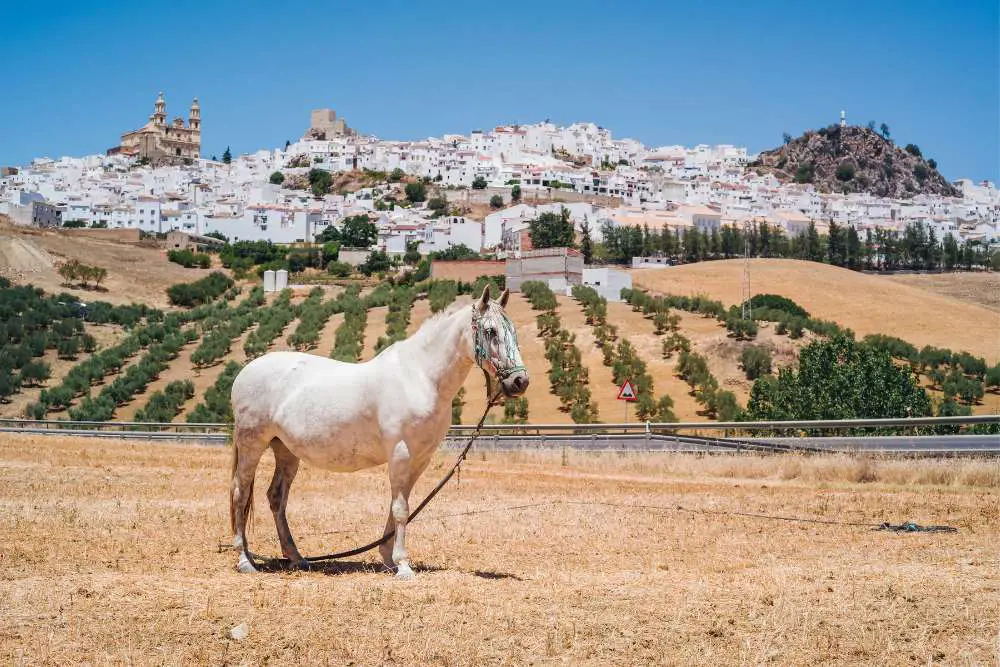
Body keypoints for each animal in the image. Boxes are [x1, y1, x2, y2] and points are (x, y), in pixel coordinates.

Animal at [227, 288, 524, 580]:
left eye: (512, 331)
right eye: (490, 331)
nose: (520, 381)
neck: (420, 377)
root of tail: (246, 371)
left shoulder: (419, 459)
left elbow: (400, 506)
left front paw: (388, 559)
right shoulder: (400, 453)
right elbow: (401, 509)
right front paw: (403, 566)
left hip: (285, 450)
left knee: (276, 497)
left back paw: (297, 558)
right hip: (252, 444)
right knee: (240, 492)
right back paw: (245, 560)